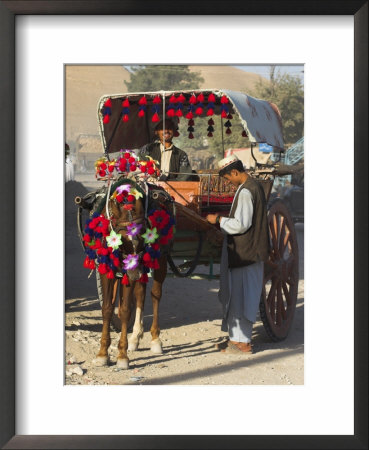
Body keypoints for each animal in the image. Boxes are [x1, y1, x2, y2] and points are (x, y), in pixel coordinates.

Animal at [82, 176, 175, 370]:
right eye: (121, 240)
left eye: (143, 237)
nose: (135, 273)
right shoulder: (107, 269)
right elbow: (107, 308)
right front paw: (102, 354)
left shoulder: (130, 270)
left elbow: (125, 310)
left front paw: (122, 356)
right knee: (140, 294)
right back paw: (135, 338)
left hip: (159, 258)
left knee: (155, 294)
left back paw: (155, 339)